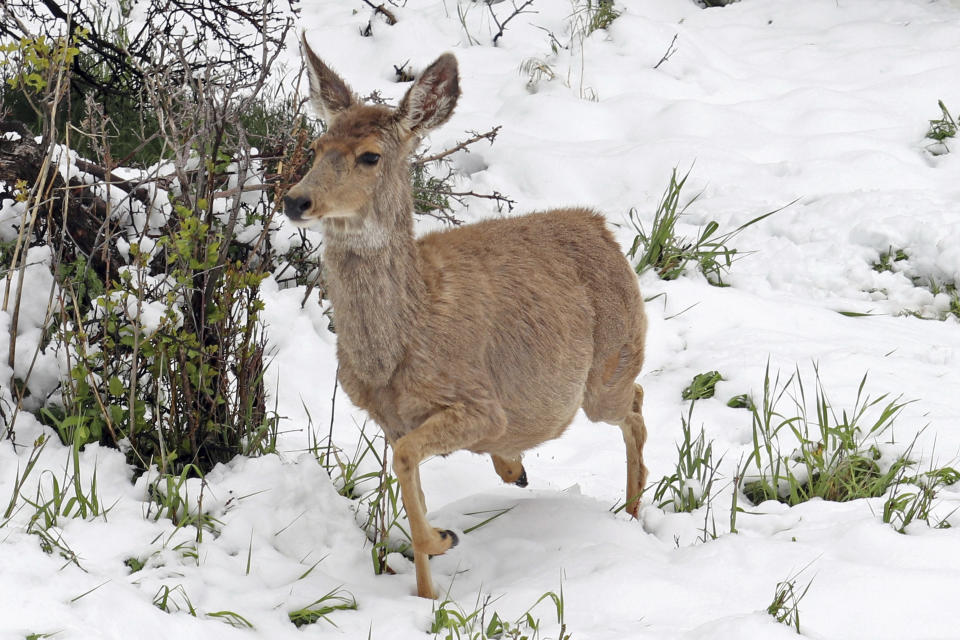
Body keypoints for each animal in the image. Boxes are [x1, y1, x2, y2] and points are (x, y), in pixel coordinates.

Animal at [282, 38, 648, 600]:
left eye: (370, 156)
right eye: (318, 147)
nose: (296, 199)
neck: (401, 341)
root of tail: (601, 228)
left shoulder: (480, 404)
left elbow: (408, 463)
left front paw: (441, 541)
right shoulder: (391, 422)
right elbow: (409, 479)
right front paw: (427, 592)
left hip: (608, 370)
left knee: (635, 404)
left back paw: (630, 513)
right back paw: (518, 469)